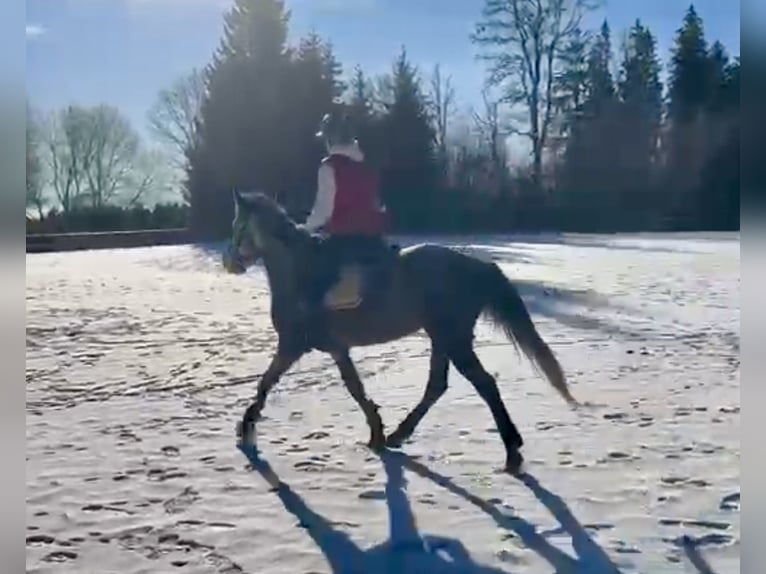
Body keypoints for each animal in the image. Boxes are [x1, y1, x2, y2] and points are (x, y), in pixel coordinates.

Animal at [220, 191, 576, 474]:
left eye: (238, 226)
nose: (229, 263)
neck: (300, 273)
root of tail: (475, 265)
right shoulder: (337, 349)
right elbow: (355, 388)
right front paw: (377, 433)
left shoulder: (293, 345)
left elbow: (266, 382)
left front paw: (246, 429)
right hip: (442, 338)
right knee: (437, 386)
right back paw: (400, 434)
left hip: (454, 338)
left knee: (483, 384)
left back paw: (511, 452)